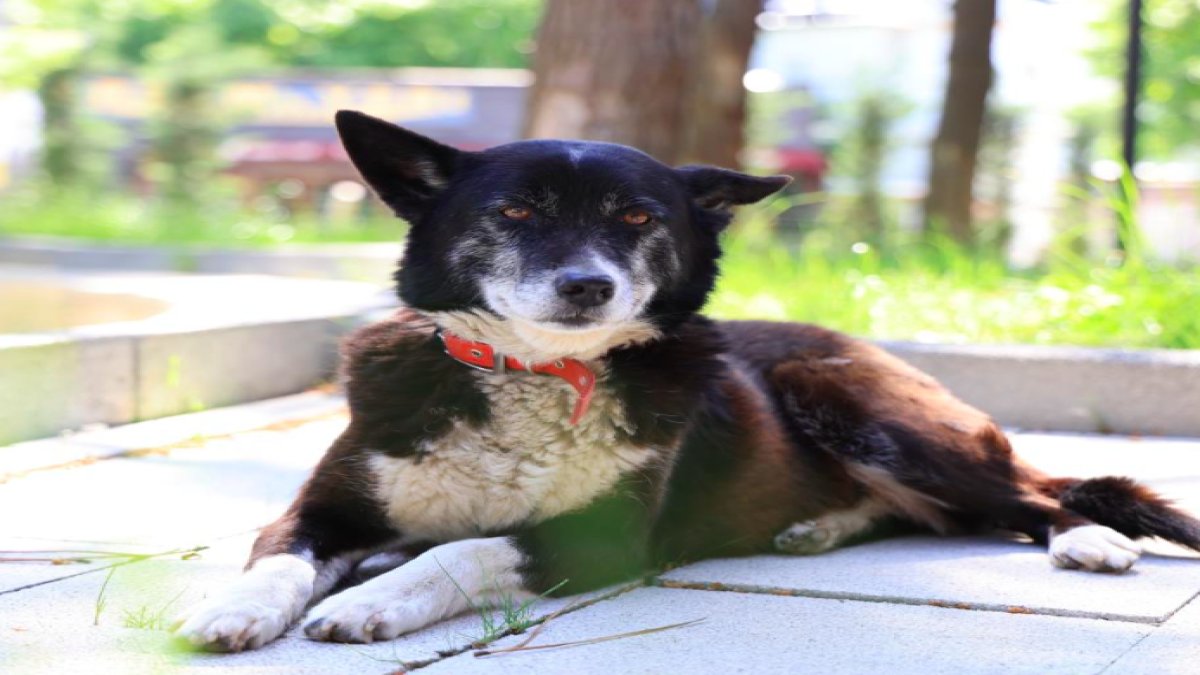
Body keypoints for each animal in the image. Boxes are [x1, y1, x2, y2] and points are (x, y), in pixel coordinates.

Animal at [174, 110, 1195, 653]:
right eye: (515, 211)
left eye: (636, 216)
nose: (587, 284)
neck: (538, 372)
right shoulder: (326, 506)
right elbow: (279, 556)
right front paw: (234, 607)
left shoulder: (600, 536)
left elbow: (463, 549)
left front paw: (367, 598)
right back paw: (817, 526)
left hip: (857, 403)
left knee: (1028, 496)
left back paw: (1086, 539)